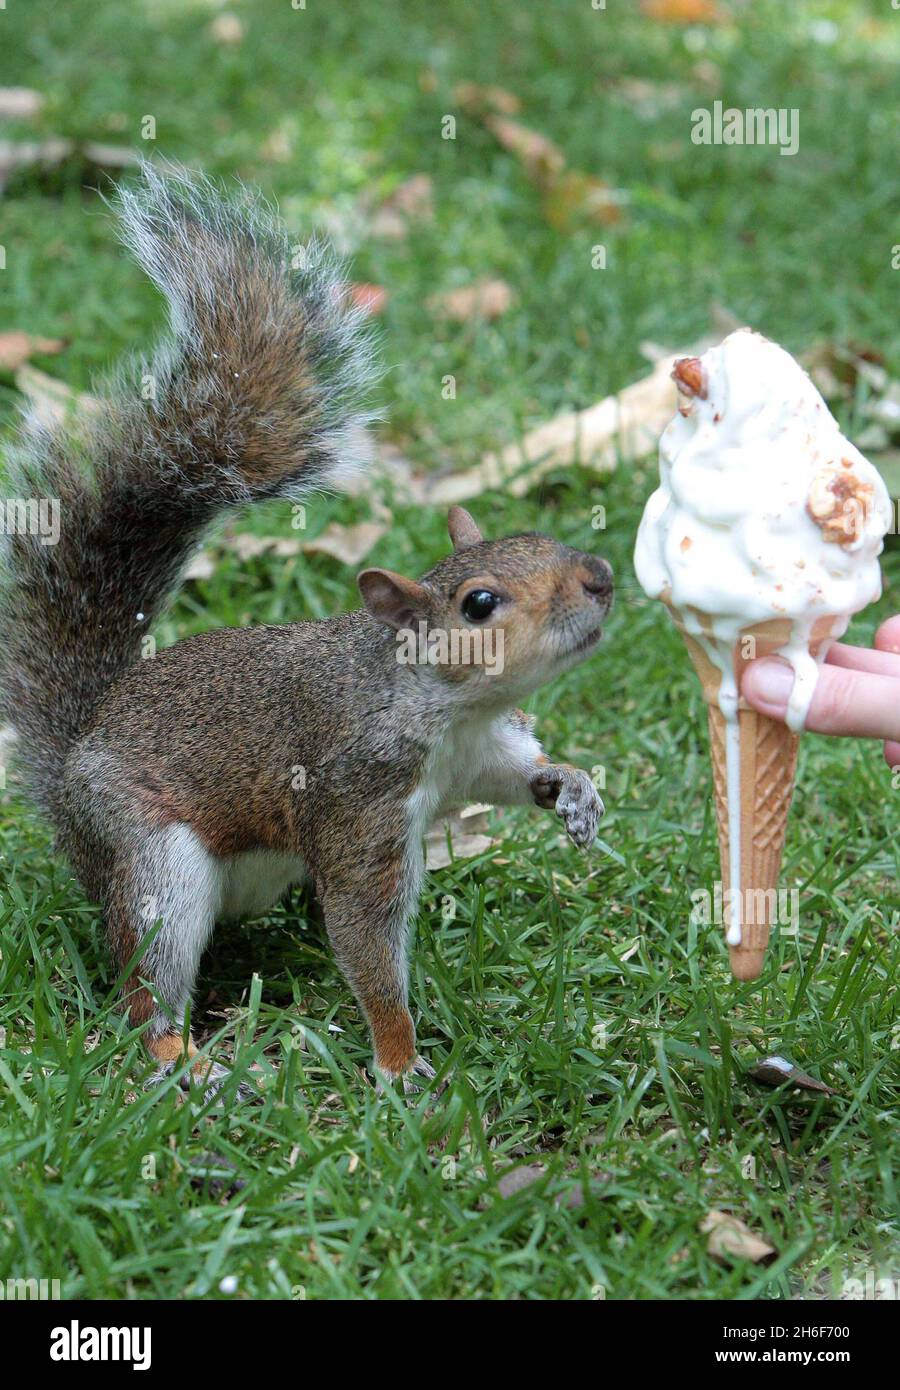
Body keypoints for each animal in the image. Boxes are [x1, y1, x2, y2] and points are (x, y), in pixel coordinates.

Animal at [0, 165, 612, 1095]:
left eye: (543, 538)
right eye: (479, 604)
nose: (603, 578)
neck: (444, 707)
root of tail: (71, 775)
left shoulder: (478, 755)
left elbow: (517, 775)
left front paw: (570, 788)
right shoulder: (359, 804)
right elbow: (364, 936)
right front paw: (399, 1063)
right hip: (151, 858)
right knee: (144, 986)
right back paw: (187, 1060)